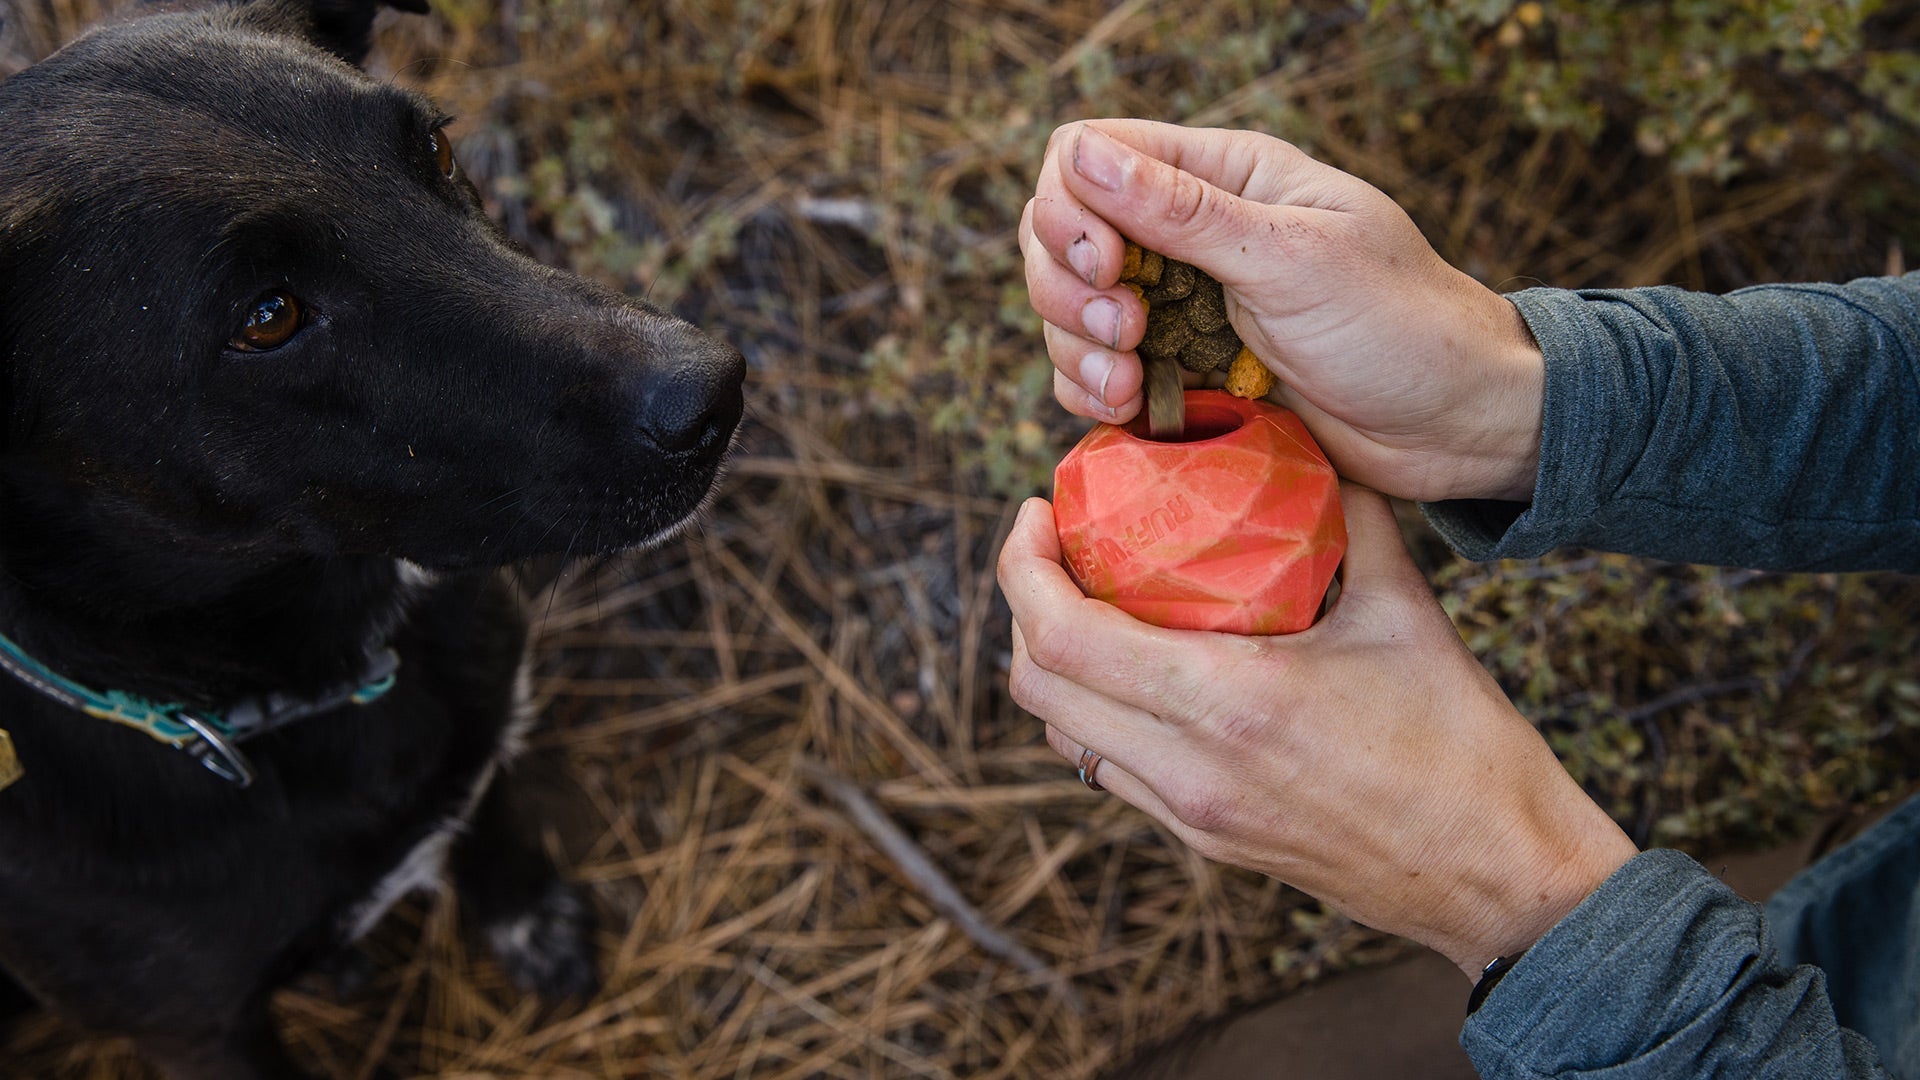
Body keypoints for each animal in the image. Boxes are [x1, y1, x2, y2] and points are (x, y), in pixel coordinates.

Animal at [0, 4, 741, 1068]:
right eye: (268, 317)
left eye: (434, 147)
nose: (713, 395)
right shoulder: (197, 1033)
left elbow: (490, 815)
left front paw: (529, 917)